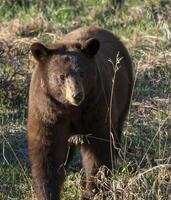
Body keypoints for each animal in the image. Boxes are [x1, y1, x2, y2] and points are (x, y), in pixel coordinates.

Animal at [27, 25, 134, 199]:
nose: (77, 95)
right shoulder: (47, 111)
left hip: (124, 93)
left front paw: (94, 190)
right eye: (61, 76)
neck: (71, 109)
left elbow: (100, 146)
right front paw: (46, 192)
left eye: (82, 73)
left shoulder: (96, 105)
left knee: (116, 132)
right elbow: (46, 152)